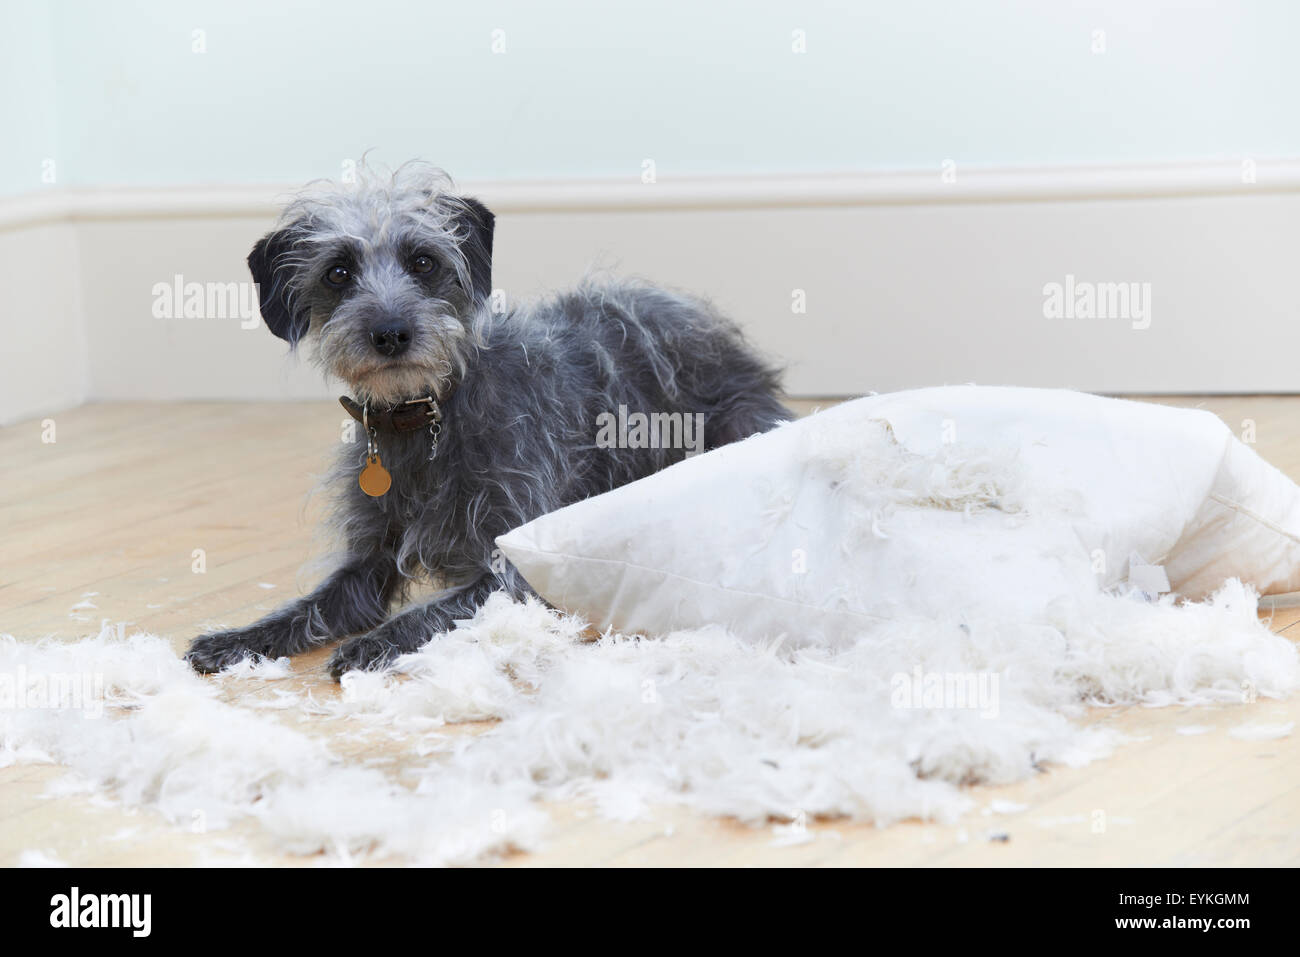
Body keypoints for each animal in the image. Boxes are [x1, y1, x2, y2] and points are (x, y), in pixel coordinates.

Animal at [184, 167, 785, 686]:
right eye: (338, 273)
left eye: (423, 261)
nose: (390, 332)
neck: (425, 417)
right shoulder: (366, 566)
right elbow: (309, 606)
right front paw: (238, 639)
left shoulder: (512, 566)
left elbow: (428, 612)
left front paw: (374, 644)